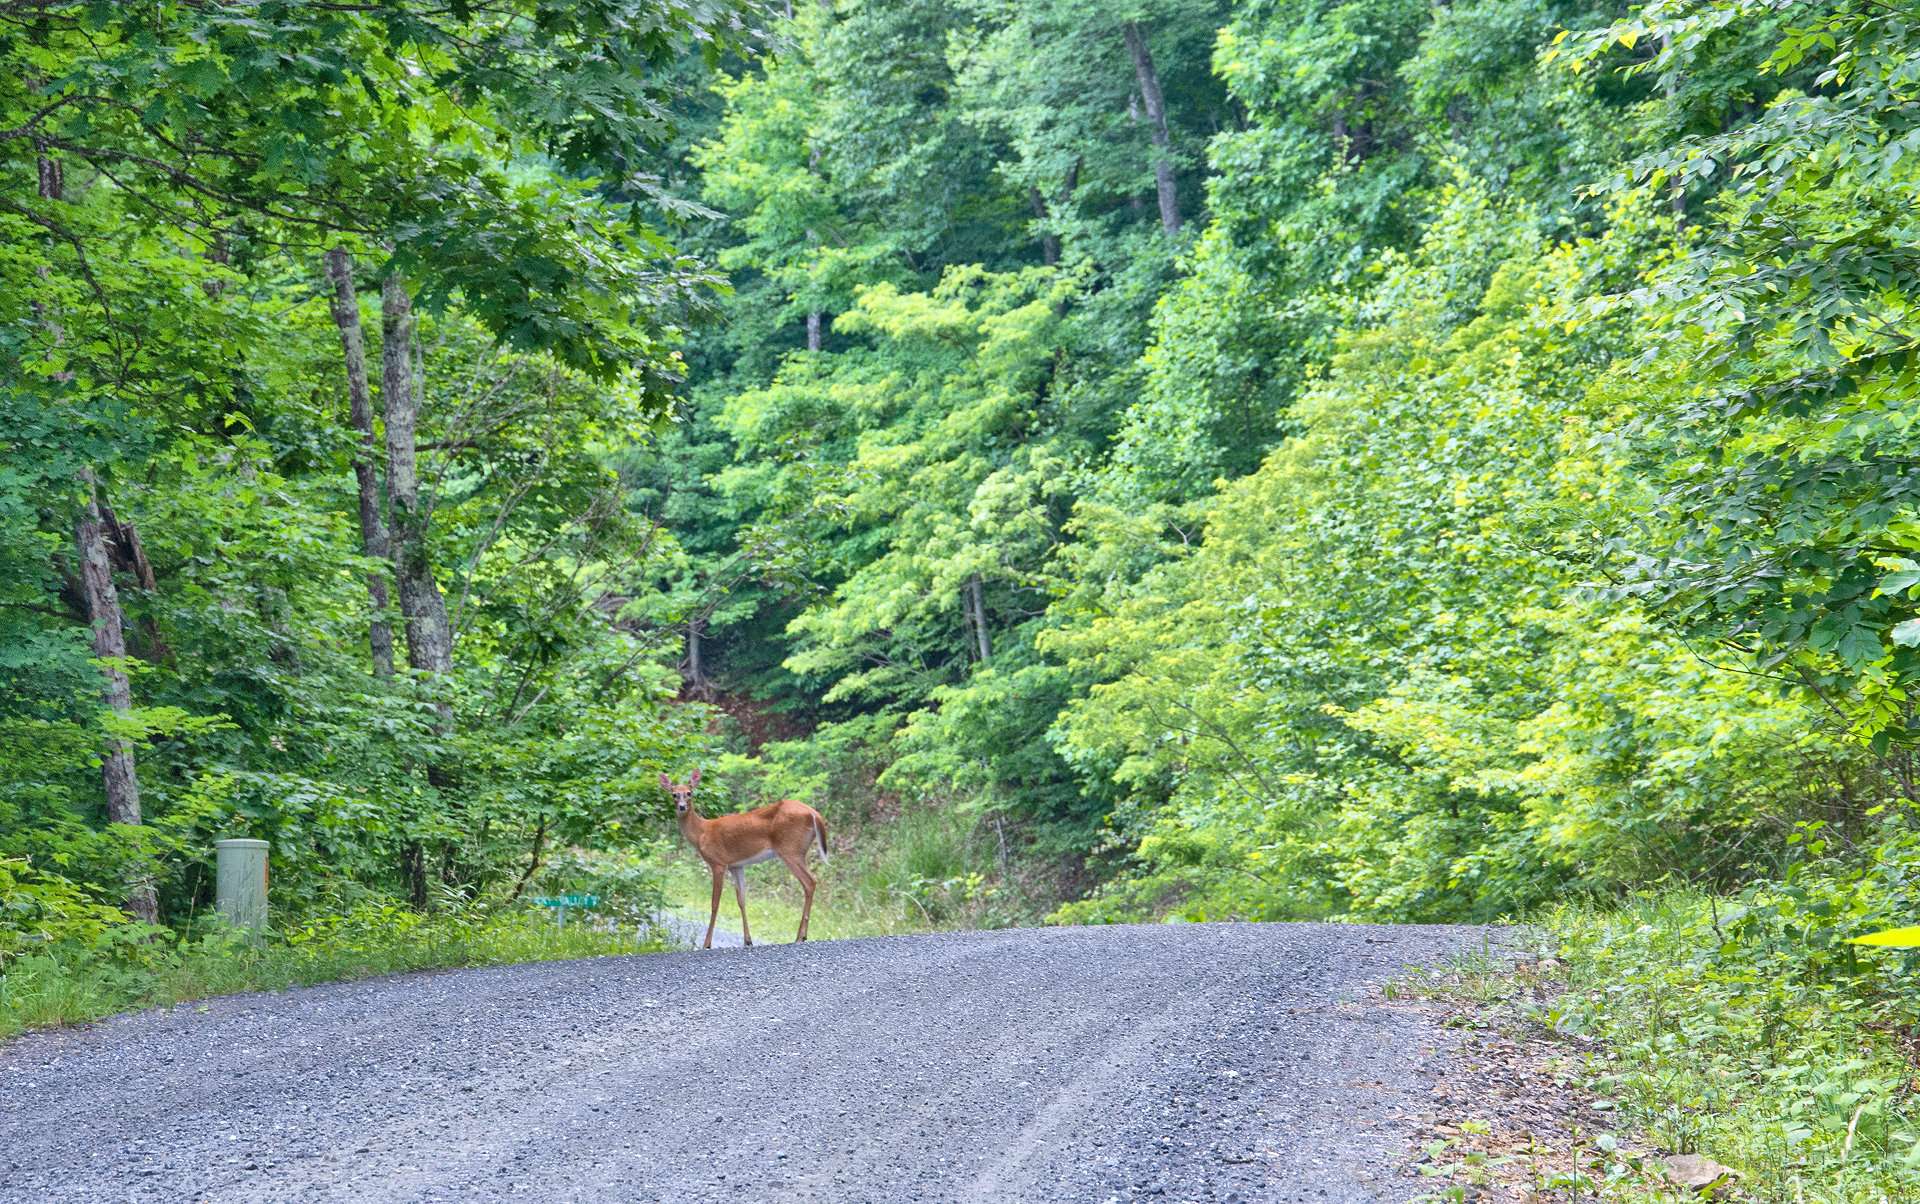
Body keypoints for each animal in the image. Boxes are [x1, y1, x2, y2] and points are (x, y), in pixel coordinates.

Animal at [664, 771, 829, 952]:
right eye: (674, 794)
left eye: (689, 793)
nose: (681, 807)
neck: (701, 832)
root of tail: (815, 814)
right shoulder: (736, 866)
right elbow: (741, 900)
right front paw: (748, 940)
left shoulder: (718, 862)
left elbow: (715, 903)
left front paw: (706, 944)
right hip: (796, 851)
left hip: (790, 849)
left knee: (810, 882)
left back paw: (800, 936)